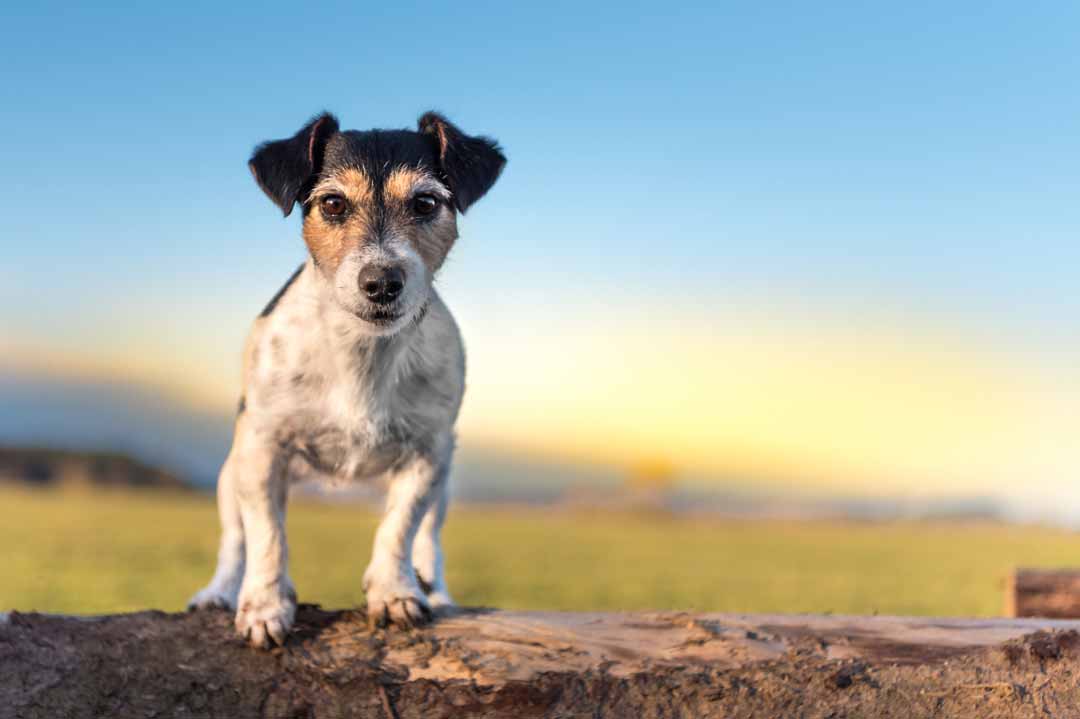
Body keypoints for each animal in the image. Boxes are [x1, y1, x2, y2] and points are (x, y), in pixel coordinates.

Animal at [186, 109, 505, 647]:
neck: (362, 352)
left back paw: (435, 590)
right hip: (231, 474)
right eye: (333, 203)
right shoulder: (262, 449)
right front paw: (265, 607)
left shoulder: (428, 456)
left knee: (429, 538)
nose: (380, 283)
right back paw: (219, 592)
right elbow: (267, 537)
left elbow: (399, 528)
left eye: (425, 203)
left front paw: (395, 593)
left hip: (443, 485)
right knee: (234, 541)